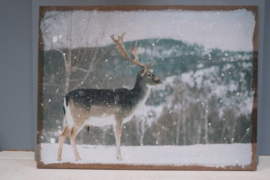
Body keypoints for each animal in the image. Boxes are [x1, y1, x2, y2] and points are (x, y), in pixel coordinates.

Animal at [57, 32, 162, 162]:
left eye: (152, 73)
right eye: (149, 74)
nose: (160, 81)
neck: (132, 101)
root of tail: (65, 98)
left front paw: (117, 157)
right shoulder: (118, 117)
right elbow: (118, 136)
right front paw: (120, 158)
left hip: (70, 118)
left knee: (62, 133)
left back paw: (59, 158)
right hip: (80, 116)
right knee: (71, 134)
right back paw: (78, 158)